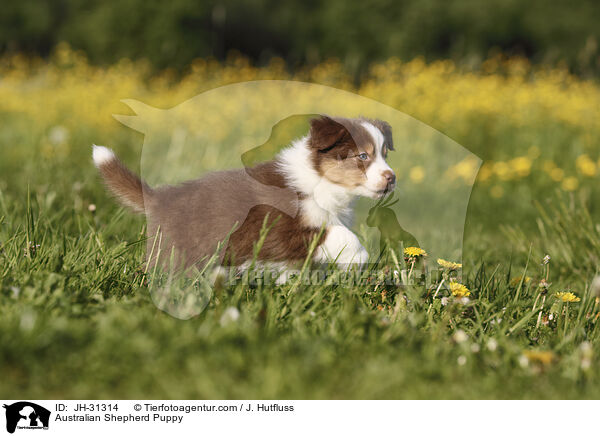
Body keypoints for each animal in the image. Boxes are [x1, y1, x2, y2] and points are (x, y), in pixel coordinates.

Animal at [92, 116, 394, 278]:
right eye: (363, 156)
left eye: (384, 154)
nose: (392, 177)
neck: (320, 181)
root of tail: (160, 197)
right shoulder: (277, 229)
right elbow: (337, 234)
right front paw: (358, 258)